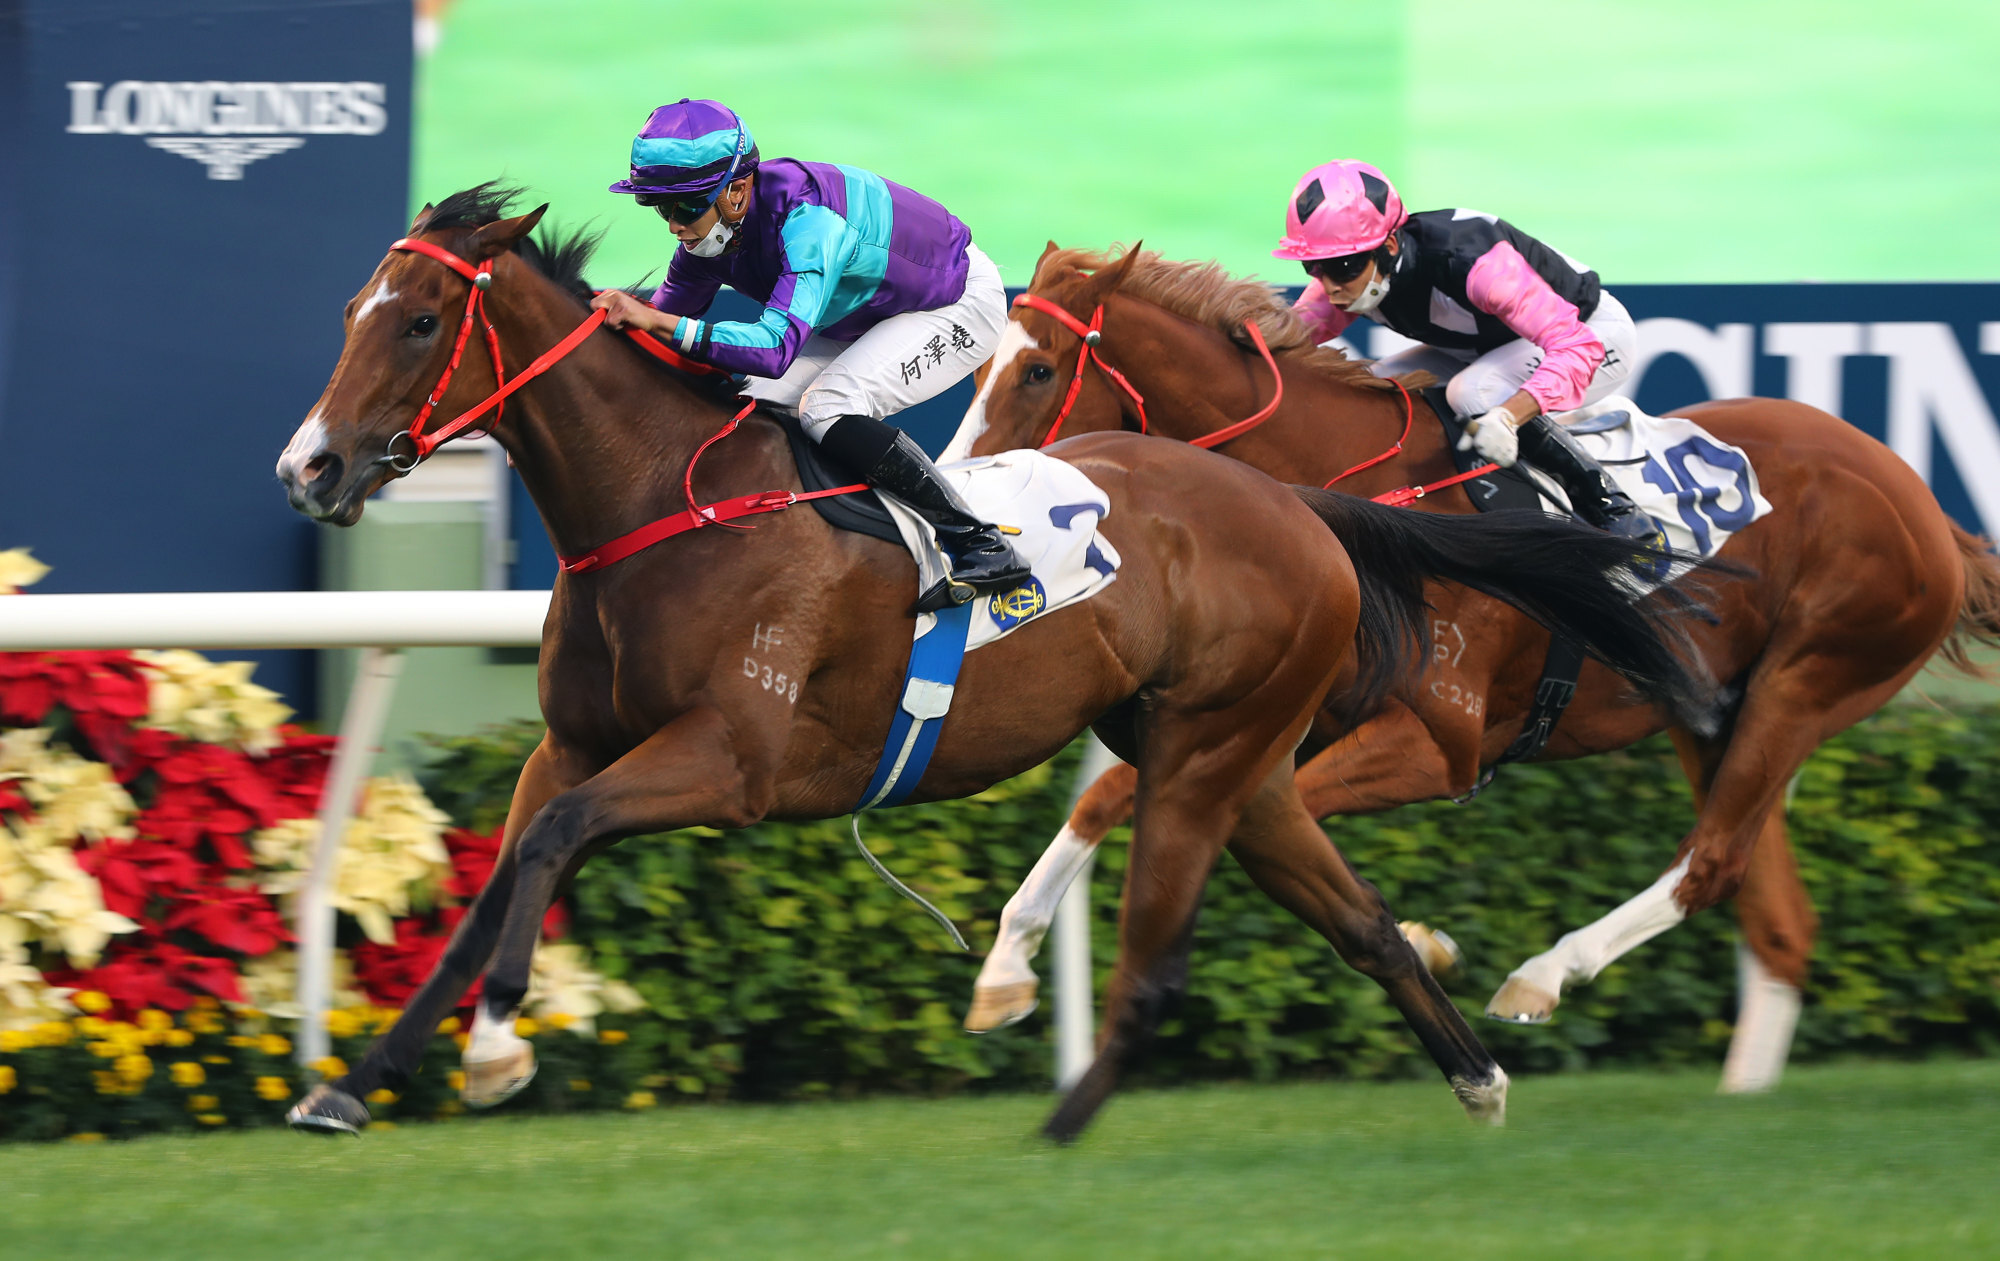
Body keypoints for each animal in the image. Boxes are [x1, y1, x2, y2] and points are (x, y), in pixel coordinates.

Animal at [274, 190, 1720, 1144]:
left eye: (416, 323)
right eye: (349, 313)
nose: (310, 467)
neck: (666, 509)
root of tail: (1302, 507)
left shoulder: (727, 764)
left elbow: (556, 838)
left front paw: (498, 1049)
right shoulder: (571, 743)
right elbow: (507, 867)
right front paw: (352, 1081)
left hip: (1219, 749)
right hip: (1235, 759)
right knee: (1351, 912)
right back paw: (1471, 1065)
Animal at [952, 247, 2000, 1096]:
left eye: (1038, 369)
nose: (963, 494)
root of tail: (1923, 503)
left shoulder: (1436, 744)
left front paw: (1424, 940)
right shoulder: (1268, 711)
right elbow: (1110, 795)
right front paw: (1005, 969)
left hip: (1807, 683)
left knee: (1713, 861)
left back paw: (1543, 975)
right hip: (1712, 711)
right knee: (1777, 915)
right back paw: (1741, 1097)